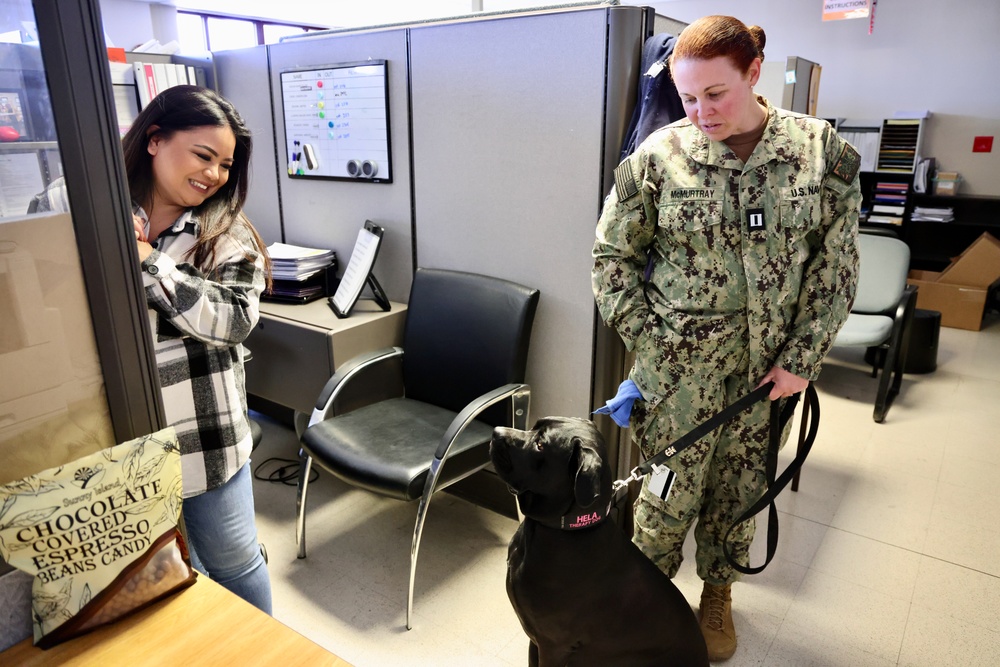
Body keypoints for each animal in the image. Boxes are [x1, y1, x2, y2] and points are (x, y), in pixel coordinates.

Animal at [488, 418, 708, 667]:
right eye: (534, 427)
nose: (496, 432)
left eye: (541, 445)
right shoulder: (536, 642)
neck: (566, 528)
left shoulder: (552, 646)